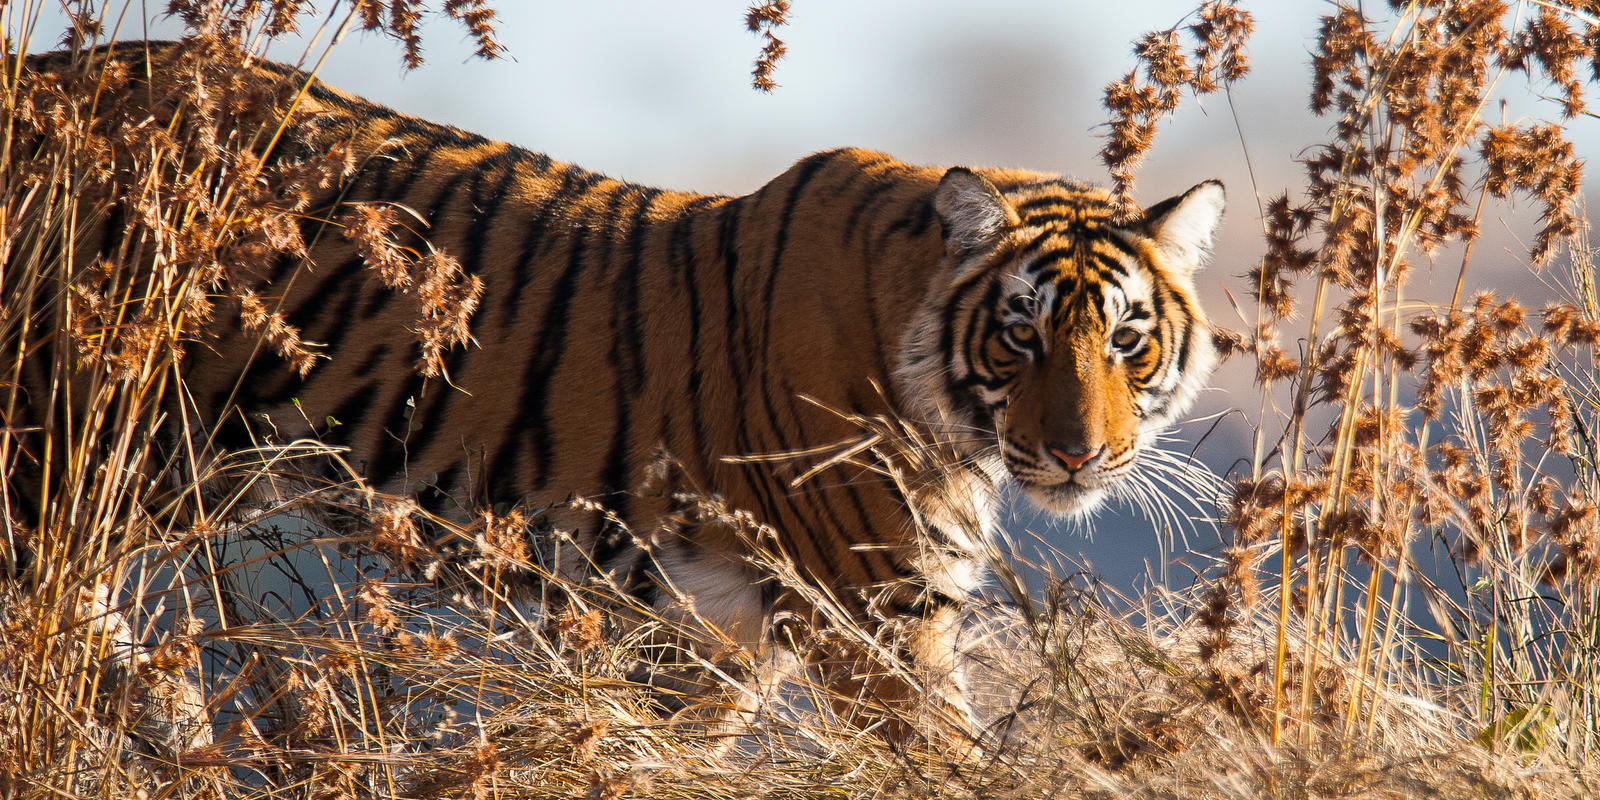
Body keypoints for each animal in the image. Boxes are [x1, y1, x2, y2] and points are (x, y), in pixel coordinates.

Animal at [12, 42, 1222, 742]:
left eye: (1126, 339)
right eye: (1021, 334)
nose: (1077, 454)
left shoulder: (715, 637)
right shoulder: (876, 617)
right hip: (64, 441)